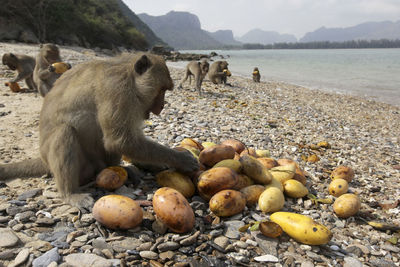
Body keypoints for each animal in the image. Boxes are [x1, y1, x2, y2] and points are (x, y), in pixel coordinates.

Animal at [0, 53, 199, 210]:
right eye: (162, 90)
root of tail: (43, 159)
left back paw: (121, 169)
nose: (163, 105)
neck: (129, 77)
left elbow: (126, 142)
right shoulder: (118, 91)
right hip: (77, 165)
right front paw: (182, 159)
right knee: (64, 131)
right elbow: (120, 141)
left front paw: (156, 163)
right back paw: (70, 193)